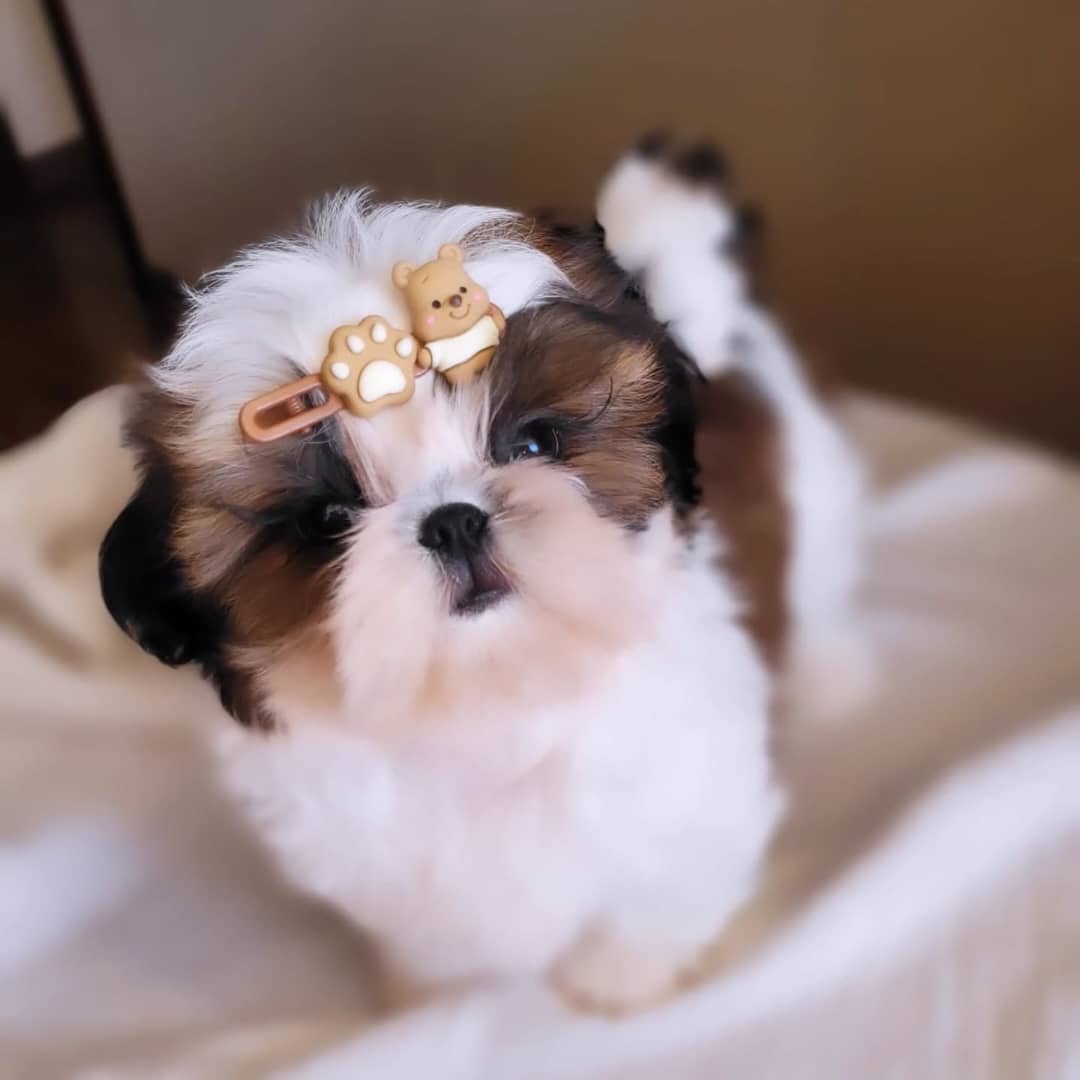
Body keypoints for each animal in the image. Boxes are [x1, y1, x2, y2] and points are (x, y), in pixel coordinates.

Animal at [99, 139, 865, 1013]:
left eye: (533, 444)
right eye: (327, 520)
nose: (454, 520)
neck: (493, 706)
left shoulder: (694, 794)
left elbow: (660, 894)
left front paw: (620, 979)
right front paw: (434, 993)